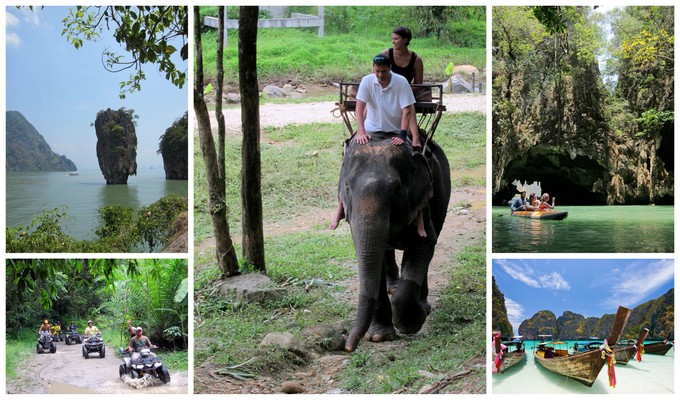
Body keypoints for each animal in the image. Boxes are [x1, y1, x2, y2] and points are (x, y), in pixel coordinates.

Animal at [340, 133, 452, 352]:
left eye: (396, 189)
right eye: (347, 187)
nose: (348, 347)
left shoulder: (422, 203)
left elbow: (424, 245)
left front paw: (410, 323)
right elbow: (371, 256)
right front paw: (379, 336)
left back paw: (423, 305)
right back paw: (393, 287)